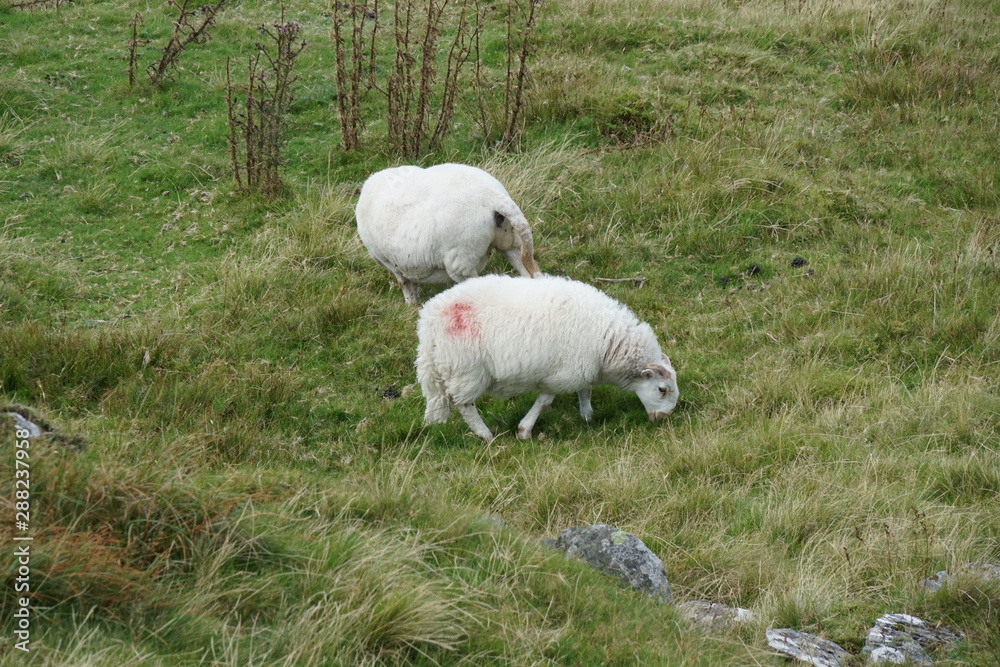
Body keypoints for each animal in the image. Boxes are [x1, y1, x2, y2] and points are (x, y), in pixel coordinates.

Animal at [355, 163, 542, 304]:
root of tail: (491, 197)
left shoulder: (390, 262)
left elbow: (405, 284)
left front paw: (411, 305)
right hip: (510, 241)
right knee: (529, 273)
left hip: (461, 263)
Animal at [416, 275, 678, 440]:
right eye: (662, 389)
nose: (663, 418)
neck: (609, 342)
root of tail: (430, 318)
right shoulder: (560, 374)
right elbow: (545, 401)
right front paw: (524, 431)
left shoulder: (582, 367)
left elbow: (585, 390)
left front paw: (587, 416)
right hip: (466, 369)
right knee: (465, 404)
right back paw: (485, 435)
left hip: (437, 368)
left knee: (438, 401)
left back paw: (435, 428)